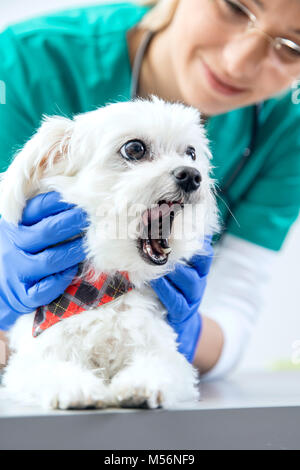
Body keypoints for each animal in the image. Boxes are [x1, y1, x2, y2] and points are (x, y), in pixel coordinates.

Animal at [0, 95, 218, 408]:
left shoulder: (165, 353)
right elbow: (50, 369)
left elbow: (158, 365)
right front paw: (77, 388)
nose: (191, 175)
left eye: (190, 153)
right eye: (134, 148)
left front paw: (140, 386)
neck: (103, 291)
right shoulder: (32, 358)